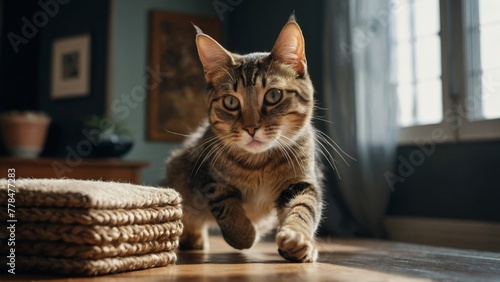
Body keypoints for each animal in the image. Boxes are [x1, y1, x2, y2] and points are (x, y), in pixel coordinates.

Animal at [167, 14, 324, 262]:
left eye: (273, 95)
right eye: (231, 101)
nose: (251, 128)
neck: (258, 164)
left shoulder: (301, 182)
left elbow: (303, 209)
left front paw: (297, 239)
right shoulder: (209, 181)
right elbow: (229, 212)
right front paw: (247, 235)